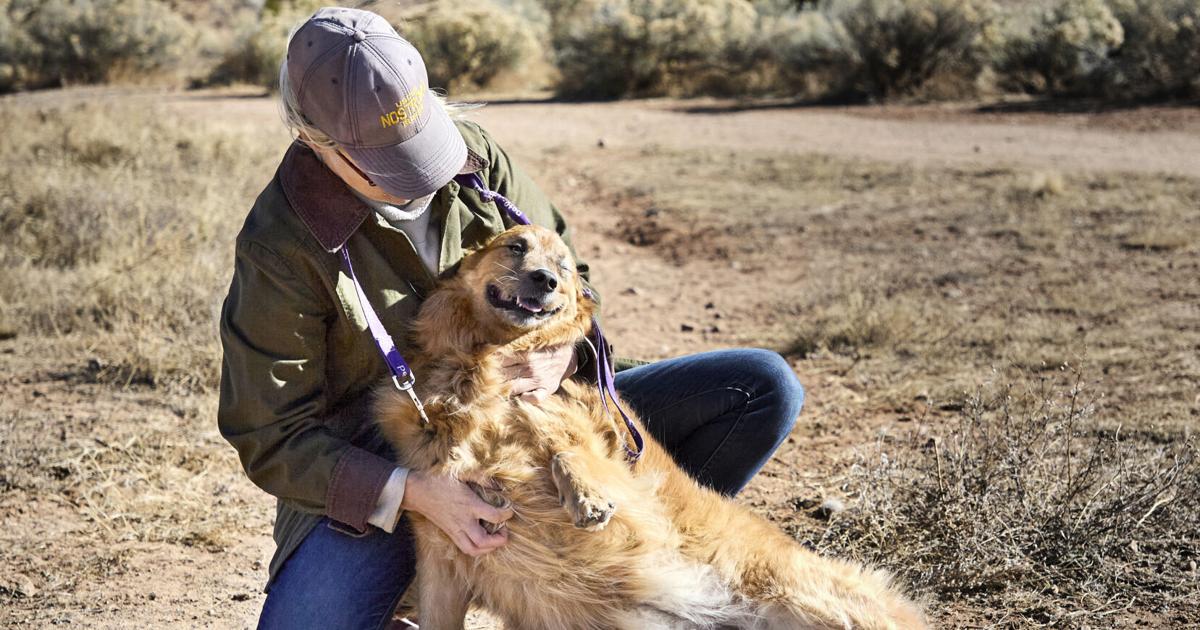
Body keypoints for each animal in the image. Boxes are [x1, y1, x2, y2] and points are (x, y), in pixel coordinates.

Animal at [376, 223, 926, 624]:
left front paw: (586, 494)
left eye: (564, 268)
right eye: (516, 247)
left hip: (811, 600)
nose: (545, 280)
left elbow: (566, 442)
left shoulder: (599, 441)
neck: (484, 370)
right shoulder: (443, 555)